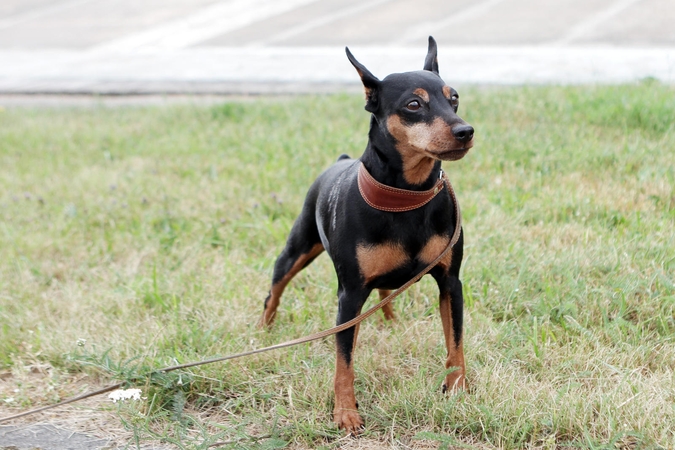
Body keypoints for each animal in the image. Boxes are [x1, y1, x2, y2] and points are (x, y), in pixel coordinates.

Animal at [258, 37, 476, 434]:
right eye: (414, 104)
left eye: (453, 98)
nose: (465, 131)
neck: (407, 197)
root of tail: (339, 160)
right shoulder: (349, 295)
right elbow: (343, 361)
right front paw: (345, 412)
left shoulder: (451, 283)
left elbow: (455, 343)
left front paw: (456, 390)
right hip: (298, 248)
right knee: (275, 291)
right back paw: (263, 330)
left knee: (385, 292)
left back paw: (391, 320)